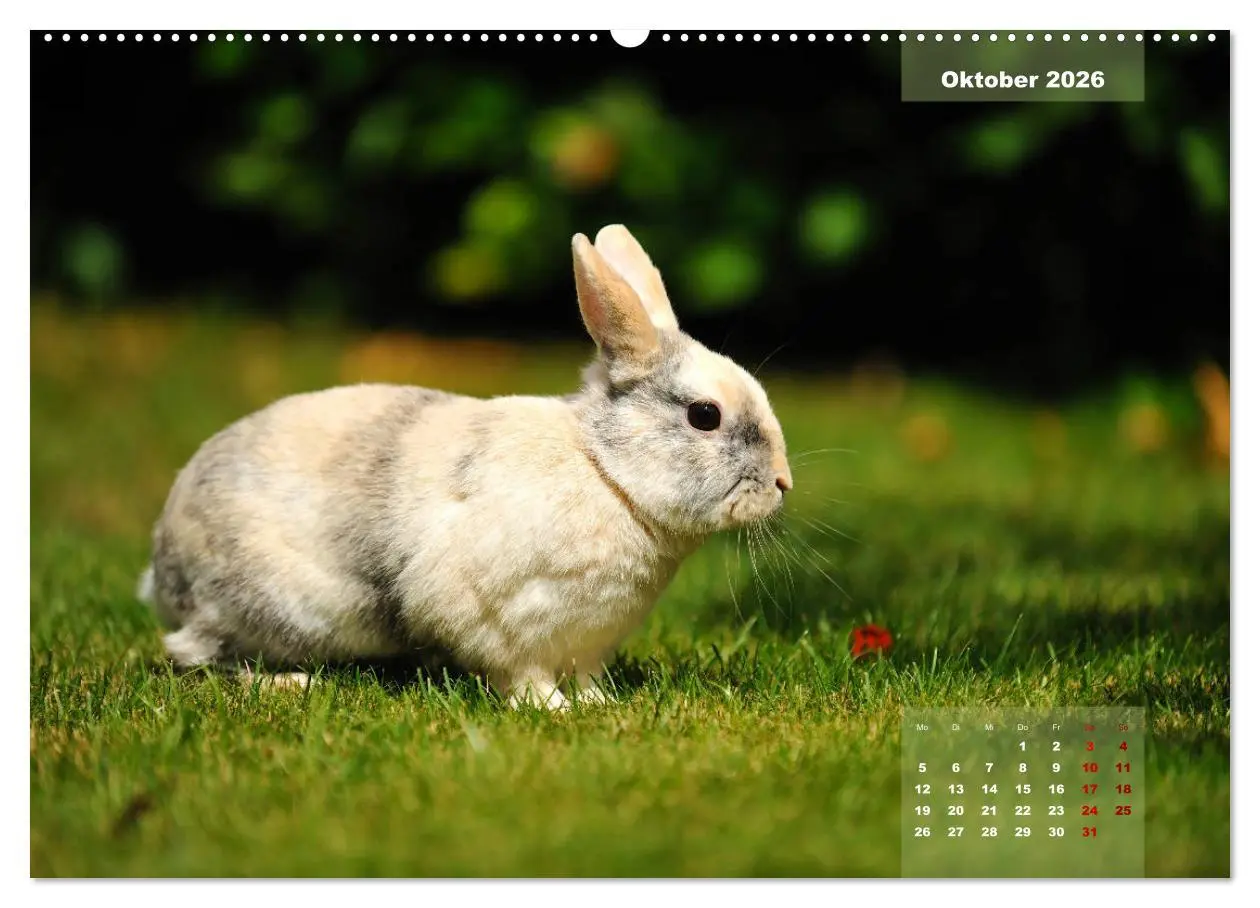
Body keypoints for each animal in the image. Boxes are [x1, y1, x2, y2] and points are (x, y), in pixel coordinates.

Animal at [137, 225, 793, 709]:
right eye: (704, 415)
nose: (784, 484)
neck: (605, 473)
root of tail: (164, 561)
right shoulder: (502, 623)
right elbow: (522, 676)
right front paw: (554, 711)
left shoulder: (587, 642)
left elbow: (584, 675)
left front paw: (598, 706)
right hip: (261, 610)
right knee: (192, 652)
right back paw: (286, 683)